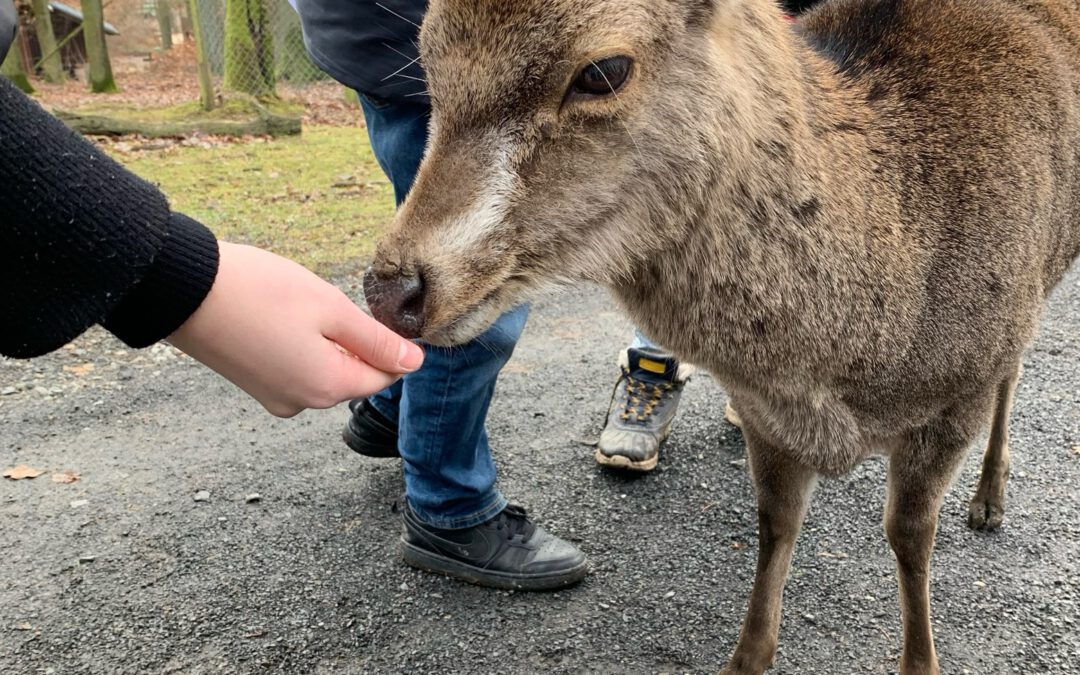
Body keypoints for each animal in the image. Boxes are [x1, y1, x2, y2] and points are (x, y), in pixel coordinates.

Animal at [362, 0, 1080, 669]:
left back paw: (989, 499)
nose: (392, 289)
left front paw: (921, 658)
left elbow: (909, 535)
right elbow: (775, 521)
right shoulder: (768, 412)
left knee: (1017, 369)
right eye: (427, 62)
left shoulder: (961, 387)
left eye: (603, 70)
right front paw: (747, 655)